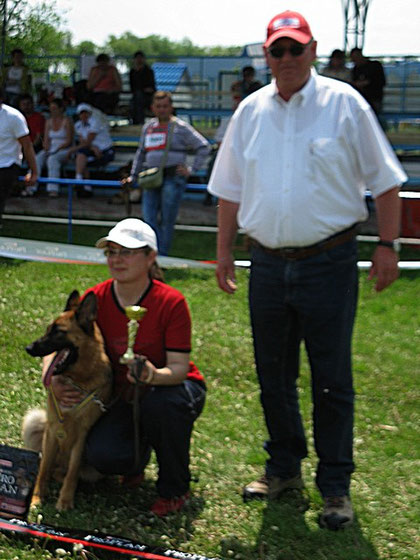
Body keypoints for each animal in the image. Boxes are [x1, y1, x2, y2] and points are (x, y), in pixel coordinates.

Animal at [22, 290, 111, 510]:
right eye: (47, 330)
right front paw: (37, 498)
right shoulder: (52, 428)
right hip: (36, 421)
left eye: (58, 332)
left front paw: (65, 500)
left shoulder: (82, 436)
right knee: (48, 467)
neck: (76, 380)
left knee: (67, 473)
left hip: (93, 470)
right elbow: (43, 469)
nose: (28, 348)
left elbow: (72, 472)